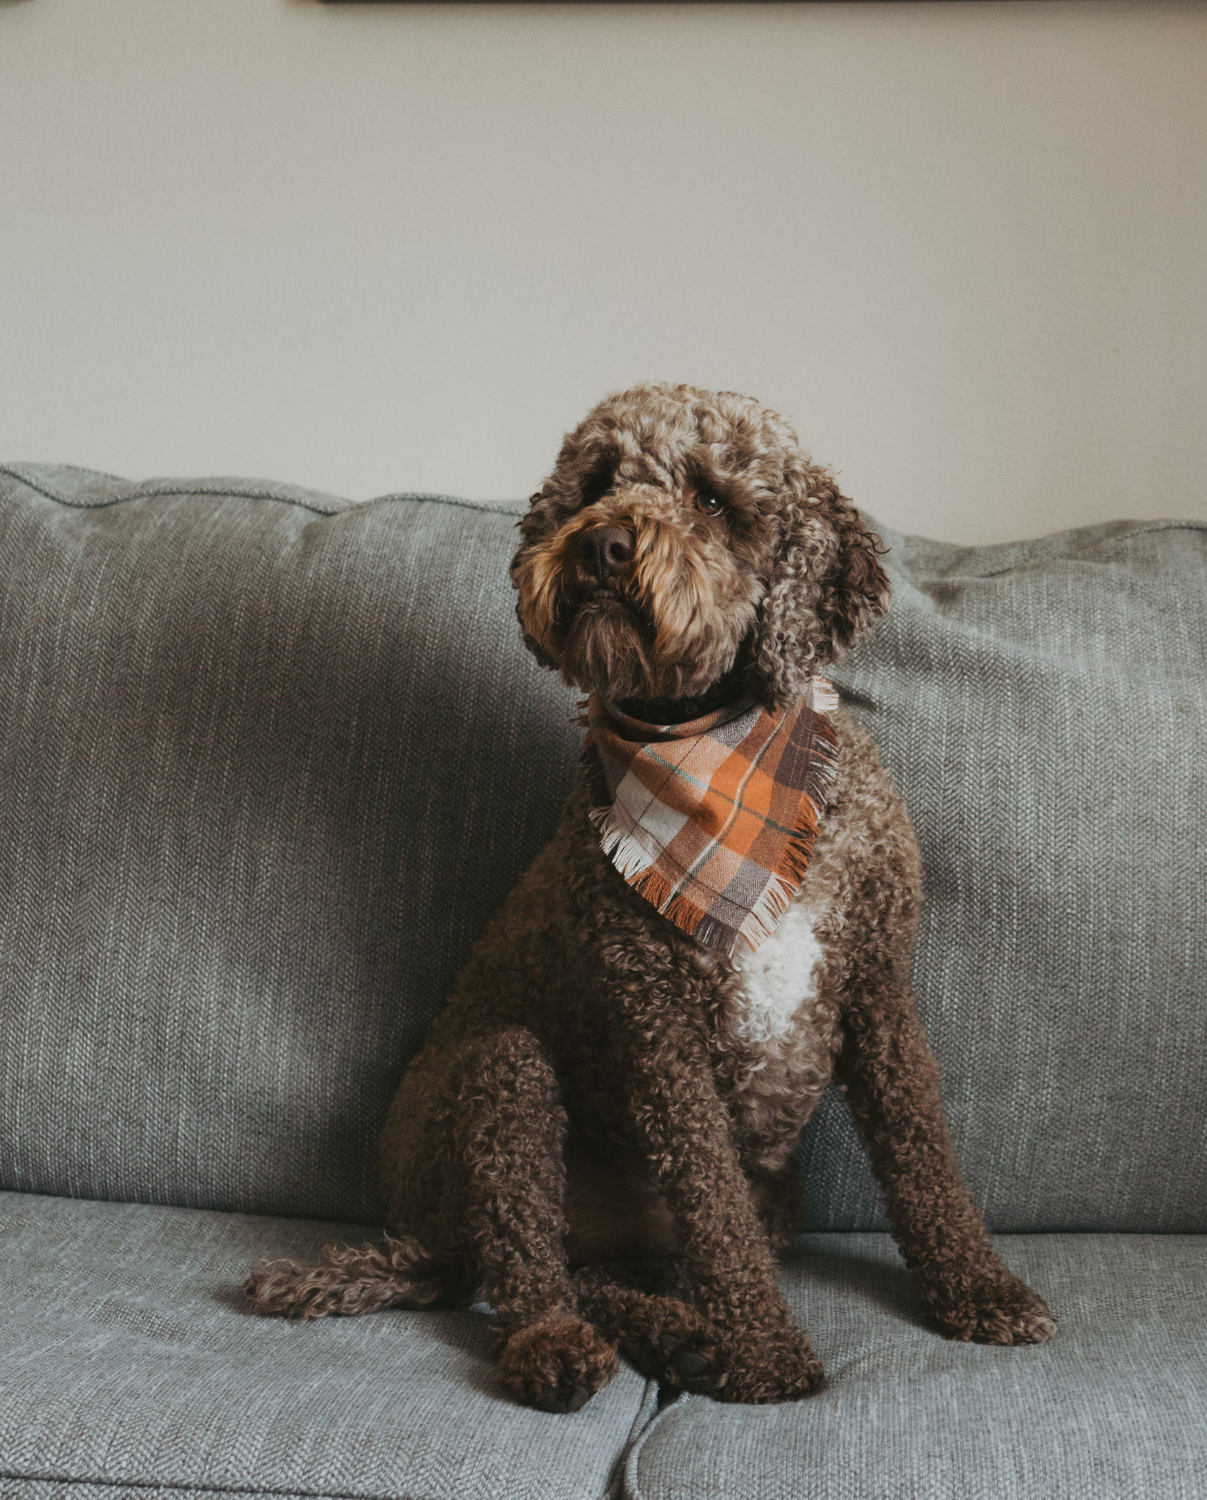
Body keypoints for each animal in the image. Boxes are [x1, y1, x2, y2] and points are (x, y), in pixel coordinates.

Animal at [247, 384, 1055, 1404]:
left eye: (711, 499)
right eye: (596, 483)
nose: (601, 544)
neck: (712, 747)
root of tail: (417, 1240)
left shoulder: (874, 986)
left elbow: (925, 1161)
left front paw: (979, 1290)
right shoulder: (659, 1029)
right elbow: (716, 1214)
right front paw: (765, 1350)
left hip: (734, 1204)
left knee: (589, 1275)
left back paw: (680, 1338)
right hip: (503, 1080)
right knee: (527, 1269)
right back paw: (571, 1347)